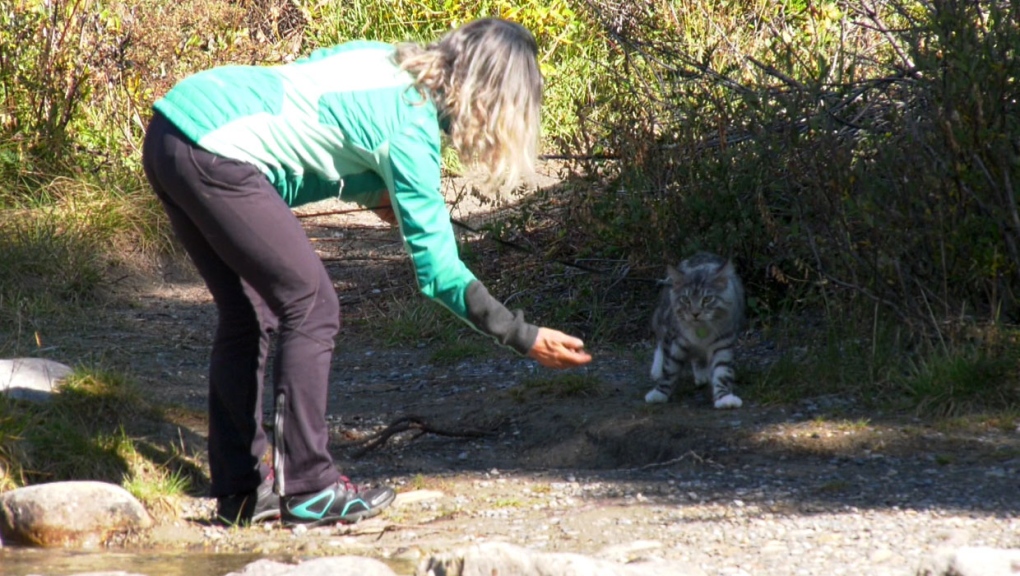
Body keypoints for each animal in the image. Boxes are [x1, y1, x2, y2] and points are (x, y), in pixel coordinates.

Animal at [648, 251, 746, 407]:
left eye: (707, 299)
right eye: (685, 300)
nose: (695, 313)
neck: (701, 330)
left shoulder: (723, 341)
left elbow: (722, 370)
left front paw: (724, 398)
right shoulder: (676, 339)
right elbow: (669, 369)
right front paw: (659, 393)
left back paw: (702, 375)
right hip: (663, 317)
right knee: (660, 341)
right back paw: (656, 369)